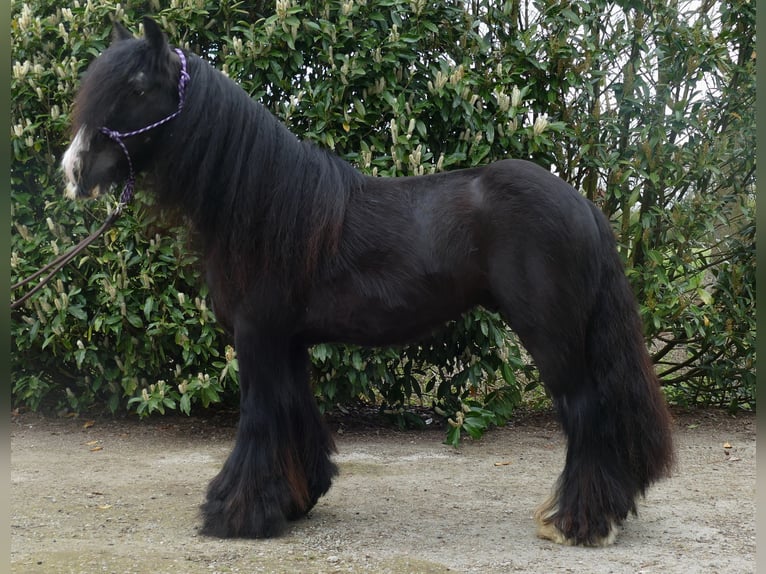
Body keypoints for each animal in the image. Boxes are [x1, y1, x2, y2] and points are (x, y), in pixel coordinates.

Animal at [60, 17, 673, 546]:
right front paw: (296, 499)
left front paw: (234, 512)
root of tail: (582, 205)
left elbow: (258, 417)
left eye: (139, 87)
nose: (74, 172)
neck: (262, 205)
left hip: (550, 337)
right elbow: (294, 413)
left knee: (586, 413)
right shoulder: (288, 342)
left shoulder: (256, 336)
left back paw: (577, 522)